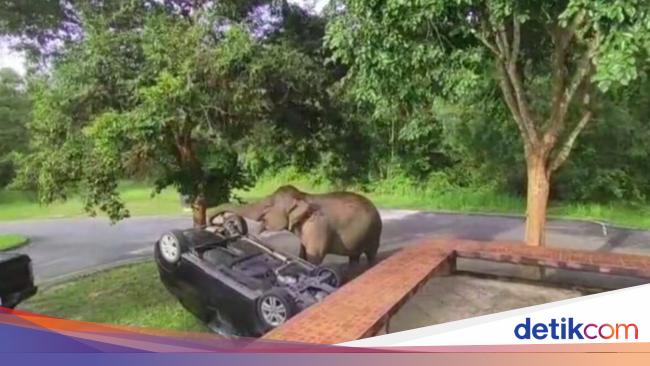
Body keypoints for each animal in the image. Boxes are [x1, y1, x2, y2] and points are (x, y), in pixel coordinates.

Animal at [206, 184, 380, 264]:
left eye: (268, 206)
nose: (210, 218)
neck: (303, 196)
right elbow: (302, 254)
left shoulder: (317, 228)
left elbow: (314, 258)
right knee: (354, 257)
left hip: (374, 234)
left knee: (371, 255)